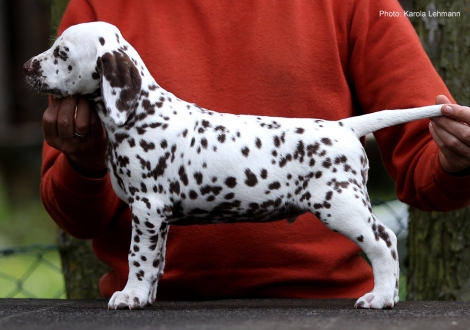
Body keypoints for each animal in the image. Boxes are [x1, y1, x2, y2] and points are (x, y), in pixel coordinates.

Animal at [25, 21, 444, 310]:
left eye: (62, 53)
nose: (27, 66)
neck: (141, 114)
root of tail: (344, 126)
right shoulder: (158, 217)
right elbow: (156, 259)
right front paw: (147, 295)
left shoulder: (147, 207)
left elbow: (139, 258)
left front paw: (130, 296)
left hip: (341, 205)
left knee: (384, 241)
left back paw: (381, 297)